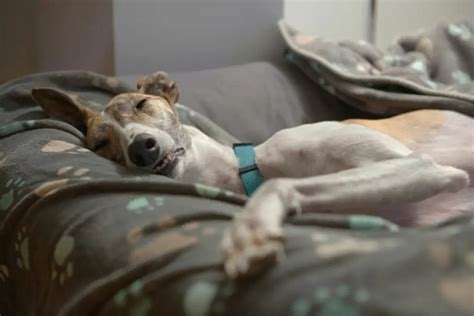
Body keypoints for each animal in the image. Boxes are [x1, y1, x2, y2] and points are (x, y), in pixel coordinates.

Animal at [32, 71, 470, 278]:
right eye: (101, 142)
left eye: (141, 104)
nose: (142, 149)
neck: (250, 165)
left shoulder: (418, 165)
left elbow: (278, 185)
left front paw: (249, 236)